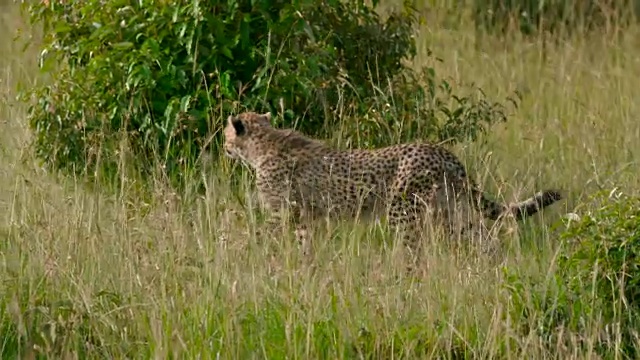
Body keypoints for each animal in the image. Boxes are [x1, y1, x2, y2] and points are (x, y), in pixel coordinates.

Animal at [222, 112, 564, 256]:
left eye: (227, 134)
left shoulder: (281, 213)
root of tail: (441, 151)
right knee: (483, 236)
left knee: (413, 250)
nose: (223, 145)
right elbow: (304, 243)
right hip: (449, 211)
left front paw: (241, 251)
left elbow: (259, 234)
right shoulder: (303, 216)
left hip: (404, 212)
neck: (262, 144)